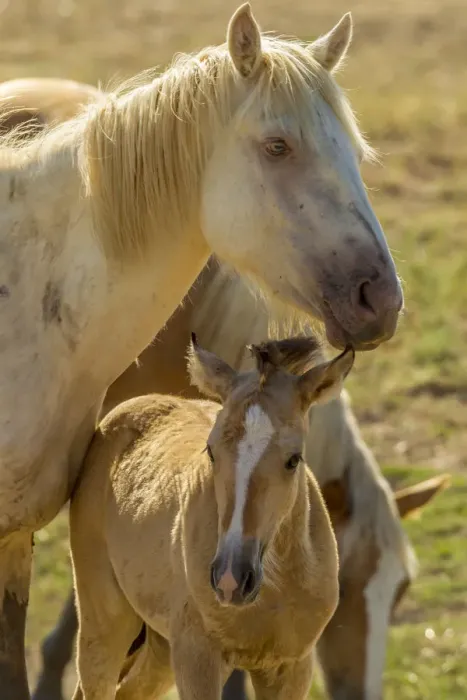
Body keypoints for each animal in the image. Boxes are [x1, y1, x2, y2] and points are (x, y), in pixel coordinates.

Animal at [70, 334, 355, 700]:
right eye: (211, 451)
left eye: (294, 459)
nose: (231, 578)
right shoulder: (198, 659)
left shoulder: (291, 667)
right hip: (106, 625)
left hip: (160, 647)